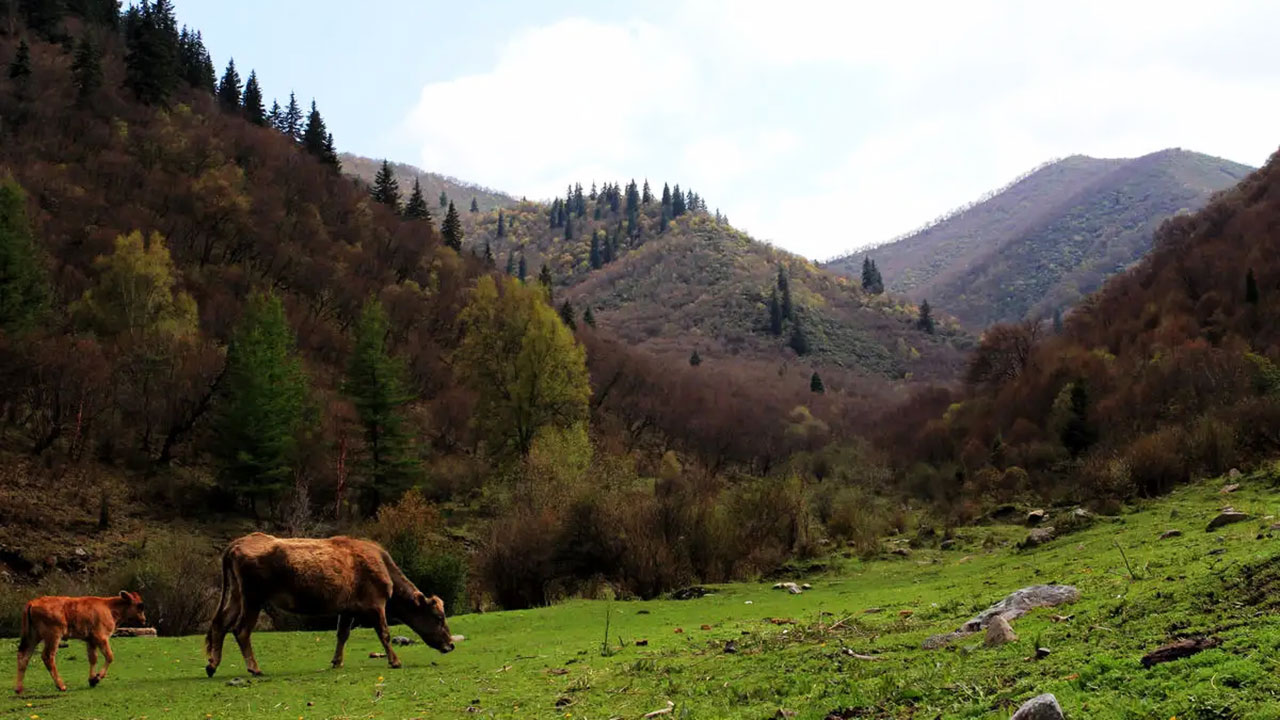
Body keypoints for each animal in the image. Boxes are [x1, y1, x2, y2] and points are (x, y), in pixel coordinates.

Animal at [14, 589, 146, 691]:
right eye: (140, 605)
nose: (144, 620)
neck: (109, 607)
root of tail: (32, 603)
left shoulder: (91, 640)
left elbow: (93, 658)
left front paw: (92, 679)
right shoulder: (101, 637)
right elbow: (109, 656)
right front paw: (97, 677)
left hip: (33, 637)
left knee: (23, 655)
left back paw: (19, 689)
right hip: (53, 636)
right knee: (47, 656)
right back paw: (61, 686)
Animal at [204, 530, 455, 676]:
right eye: (439, 617)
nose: (451, 645)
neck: (381, 564)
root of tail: (239, 542)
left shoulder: (347, 610)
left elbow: (342, 635)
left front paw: (336, 661)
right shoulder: (376, 605)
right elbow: (384, 633)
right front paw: (394, 661)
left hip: (237, 596)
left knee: (220, 624)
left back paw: (212, 664)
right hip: (253, 598)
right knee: (241, 630)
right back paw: (254, 668)